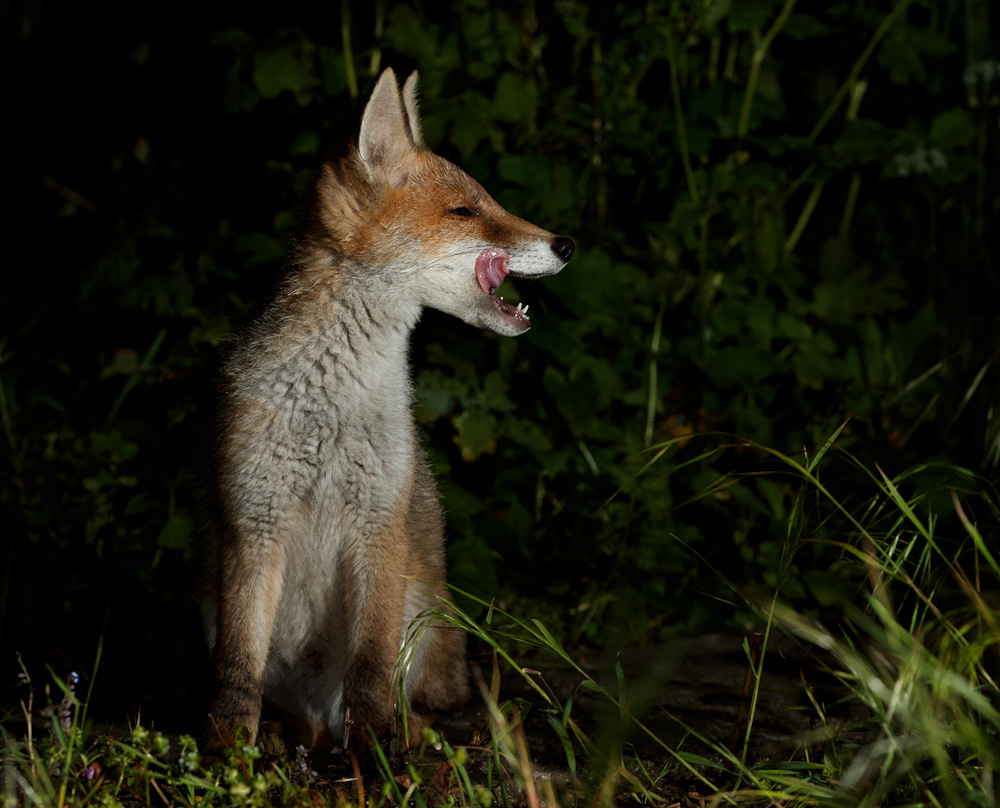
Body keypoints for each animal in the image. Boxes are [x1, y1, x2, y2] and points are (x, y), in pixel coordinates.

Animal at [200, 67, 574, 753]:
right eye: (465, 210)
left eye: (488, 200)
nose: (565, 243)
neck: (330, 410)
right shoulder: (254, 521)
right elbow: (239, 673)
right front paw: (228, 752)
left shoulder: (379, 521)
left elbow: (370, 668)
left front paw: (374, 751)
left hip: (421, 613)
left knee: (426, 702)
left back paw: (402, 735)